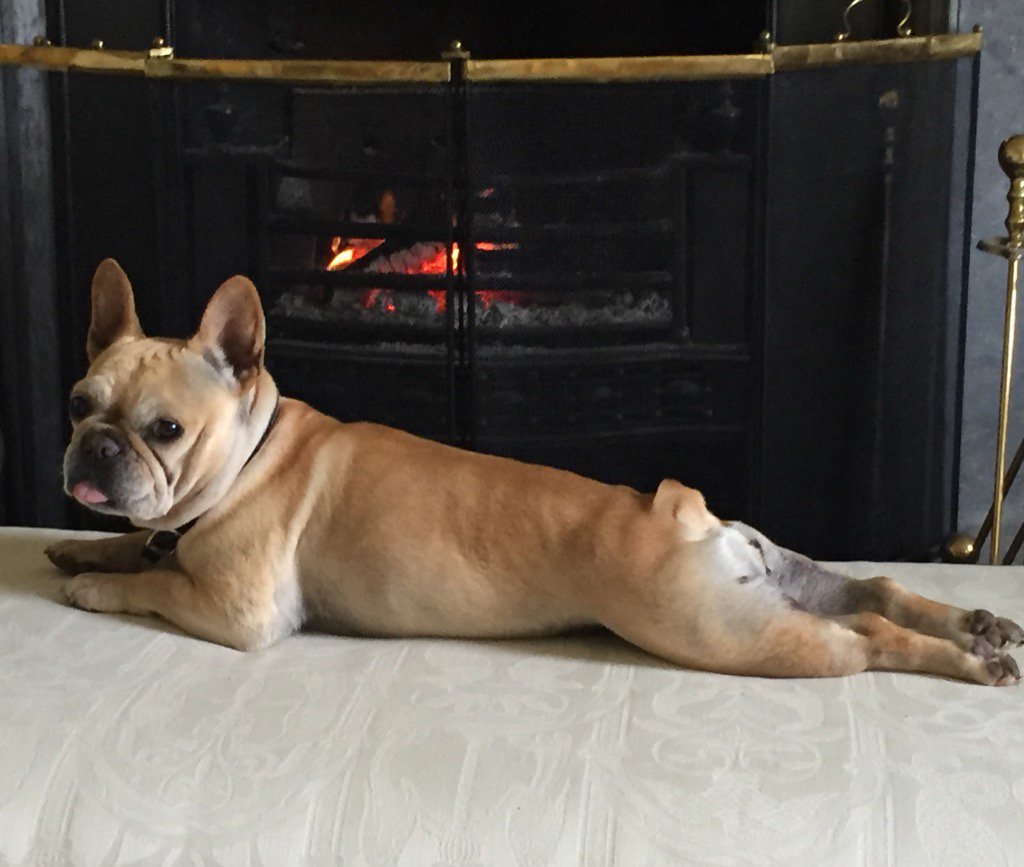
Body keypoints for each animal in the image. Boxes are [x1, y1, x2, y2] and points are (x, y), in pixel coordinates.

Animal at [45, 259, 1024, 685]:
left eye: (167, 429)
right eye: (77, 401)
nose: (96, 448)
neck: (248, 456)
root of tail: (683, 512)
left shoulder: (239, 613)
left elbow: (154, 586)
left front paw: (95, 587)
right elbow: (137, 550)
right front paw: (78, 551)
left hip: (730, 633)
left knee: (869, 638)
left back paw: (968, 660)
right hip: (776, 588)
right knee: (877, 590)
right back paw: (978, 626)